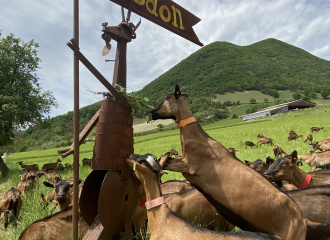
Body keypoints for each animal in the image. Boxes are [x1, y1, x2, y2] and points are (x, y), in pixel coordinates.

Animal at [150, 86, 330, 240]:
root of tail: (304, 220)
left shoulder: (189, 165)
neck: (196, 137)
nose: (152, 112)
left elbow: (164, 161)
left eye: (167, 98)